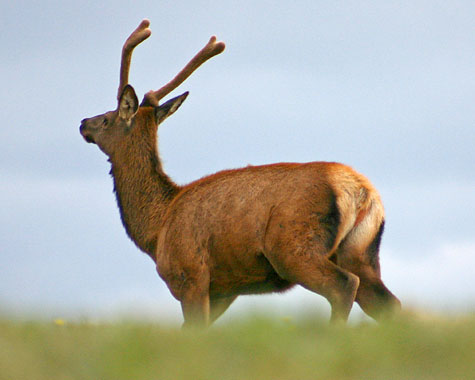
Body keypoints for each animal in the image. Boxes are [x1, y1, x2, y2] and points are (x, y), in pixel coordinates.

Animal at [80, 19, 400, 328]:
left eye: (107, 118)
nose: (83, 122)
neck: (156, 228)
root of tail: (361, 192)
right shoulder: (224, 290)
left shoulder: (190, 274)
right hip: (361, 254)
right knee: (390, 304)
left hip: (294, 248)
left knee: (343, 287)